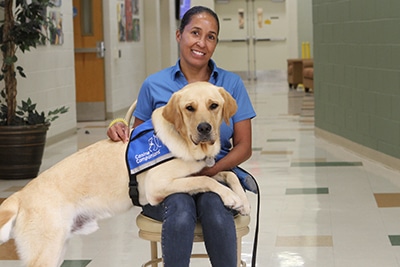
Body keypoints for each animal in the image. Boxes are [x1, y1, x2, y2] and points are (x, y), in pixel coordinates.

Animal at [0, 82, 250, 267]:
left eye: (214, 105)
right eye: (190, 108)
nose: (204, 128)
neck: (184, 141)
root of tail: (20, 195)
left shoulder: (198, 171)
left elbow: (226, 174)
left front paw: (243, 201)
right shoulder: (157, 186)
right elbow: (205, 179)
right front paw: (230, 197)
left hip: (58, 248)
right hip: (47, 251)